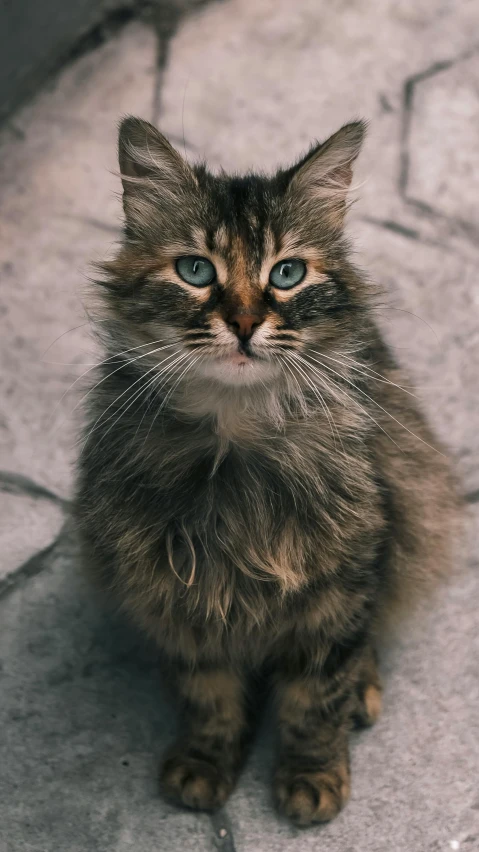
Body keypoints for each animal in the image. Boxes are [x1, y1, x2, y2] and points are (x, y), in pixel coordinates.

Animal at [73, 115, 460, 824]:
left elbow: (317, 696)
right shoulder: (180, 589)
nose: (247, 323)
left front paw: (313, 777)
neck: (235, 437)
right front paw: (204, 763)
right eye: (195, 269)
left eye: (287, 273)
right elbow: (208, 695)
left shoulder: (343, 584)